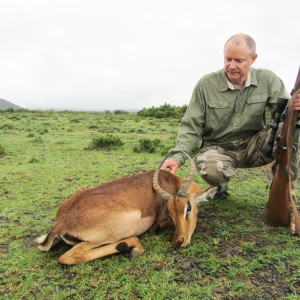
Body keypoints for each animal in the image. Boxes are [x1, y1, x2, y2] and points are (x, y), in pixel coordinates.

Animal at [37, 152, 216, 264]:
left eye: (188, 208)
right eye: (172, 213)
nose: (179, 241)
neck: (169, 181)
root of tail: (62, 220)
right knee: (69, 256)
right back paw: (132, 247)